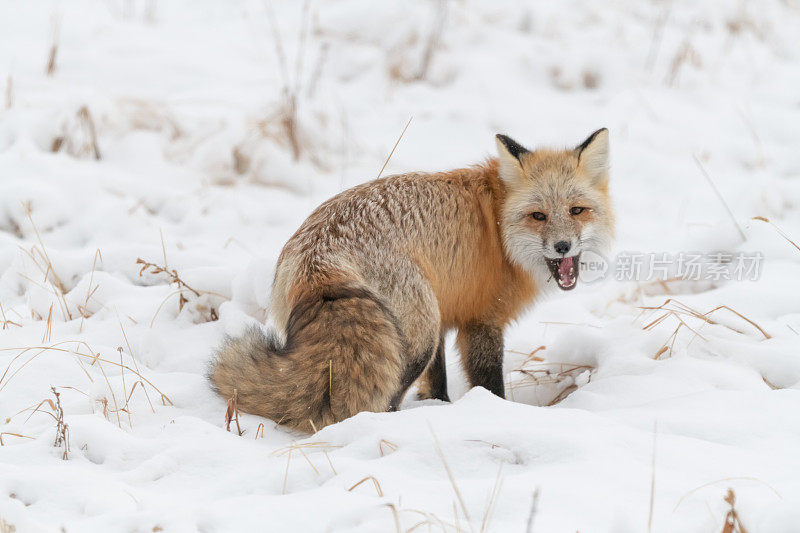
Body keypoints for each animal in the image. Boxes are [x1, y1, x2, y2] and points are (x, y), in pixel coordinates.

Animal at [208, 129, 612, 432]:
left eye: (577, 210)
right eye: (538, 215)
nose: (562, 246)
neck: (499, 231)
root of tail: (318, 256)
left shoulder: (446, 314)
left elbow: (437, 381)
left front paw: (439, 406)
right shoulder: (481, 322)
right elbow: (489, 383)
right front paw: (494, 413)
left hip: (424, 325)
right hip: (416, 337)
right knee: (383, 399)